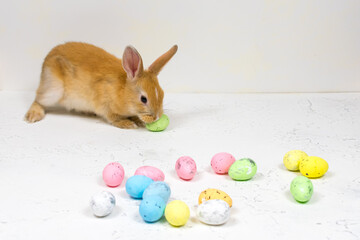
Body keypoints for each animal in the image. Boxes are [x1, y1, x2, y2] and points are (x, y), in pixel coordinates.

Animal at [24, 42, 178, 128]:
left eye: (162, 94)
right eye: (143, 99)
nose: (157, 117)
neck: (123, 90)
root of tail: (47, 58)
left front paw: (137, 121)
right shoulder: (105, 105)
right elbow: (113, 118)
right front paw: (128, 124)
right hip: (53, 90)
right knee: (38, 100)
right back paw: (33, 116)